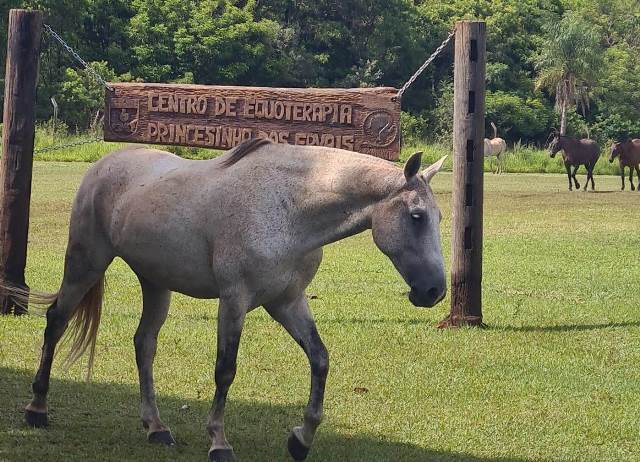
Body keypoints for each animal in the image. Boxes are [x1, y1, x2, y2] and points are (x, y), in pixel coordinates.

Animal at [2, 140, 448, 462]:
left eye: (438, 217)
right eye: (416, 217)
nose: (434, 291)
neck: (289, 208)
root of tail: (103, 164)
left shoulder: (288, 302)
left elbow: (320, 359)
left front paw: (301, 439)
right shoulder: (234, 301)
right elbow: (225, 370)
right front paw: (218, 441)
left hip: (155, 283)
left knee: (144, 344)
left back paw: (156, 428)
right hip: (86, 263)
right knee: (57, 321)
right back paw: (37, 409)